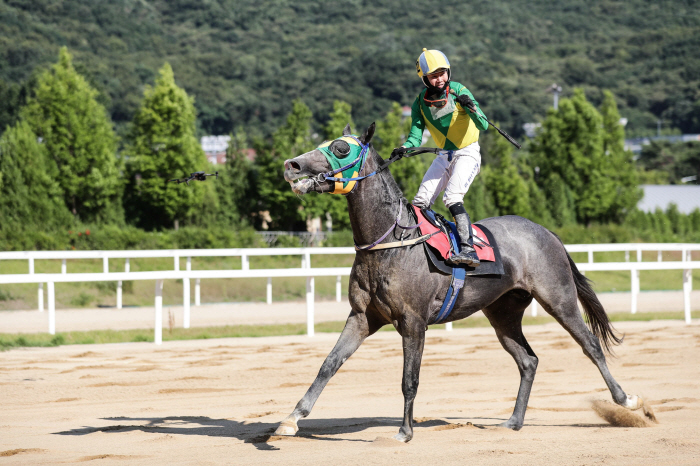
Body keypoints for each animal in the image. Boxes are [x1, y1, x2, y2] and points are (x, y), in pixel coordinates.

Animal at [276, 122, 648, 442]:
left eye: (339, 148)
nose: (291, 165)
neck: (392, 242)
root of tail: (546, 231)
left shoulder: (413, 322)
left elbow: (409, 379)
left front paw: (405, 431)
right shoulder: (362, 317)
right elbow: (329, 364)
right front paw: (291, 419)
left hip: (559, 298)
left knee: (591, 345)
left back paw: (628, 402)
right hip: (502, 313)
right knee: (528, 360)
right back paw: (513, 421)